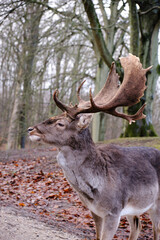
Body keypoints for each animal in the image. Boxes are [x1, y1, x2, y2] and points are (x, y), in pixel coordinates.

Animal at [27, 54, 160, 240]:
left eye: (60, 123)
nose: (31, 129)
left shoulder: (113, 211)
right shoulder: (95, 211)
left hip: (156, 204)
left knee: (156, 230)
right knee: (137, 226)